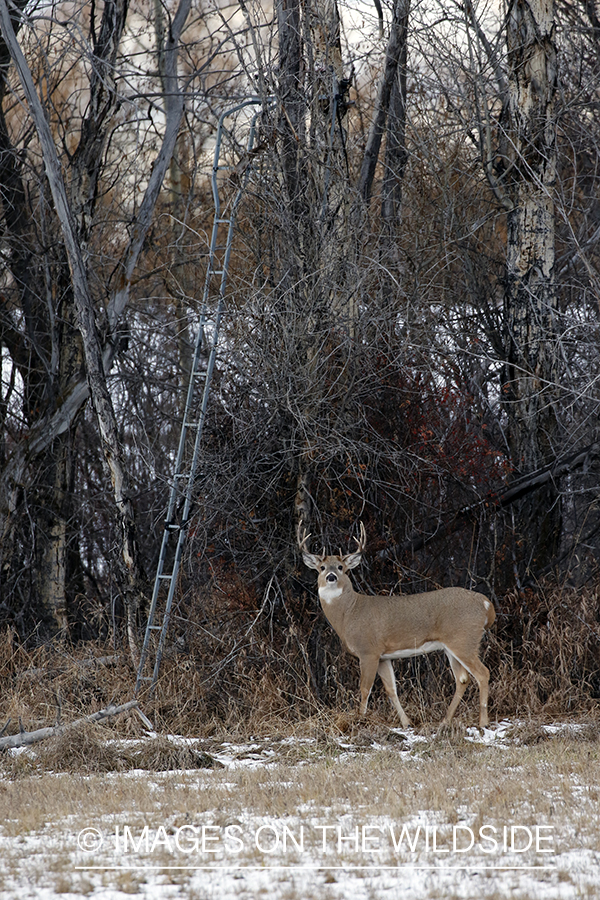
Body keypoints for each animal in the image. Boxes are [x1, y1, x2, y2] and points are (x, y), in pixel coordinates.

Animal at [298, 524, 494, 728]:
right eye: (321, 567)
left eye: (340, 567)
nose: (331, 576)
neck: (349, 613)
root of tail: (486, 604)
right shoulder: (384, 657)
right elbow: (391, 689)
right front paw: (406, 723)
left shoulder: (369, 651)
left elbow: (364, 689)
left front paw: (360, 719)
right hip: (451, 646)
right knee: (462, 679)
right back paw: (445, 721)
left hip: (464, 640)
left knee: (483, 673)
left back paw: (483, 722)